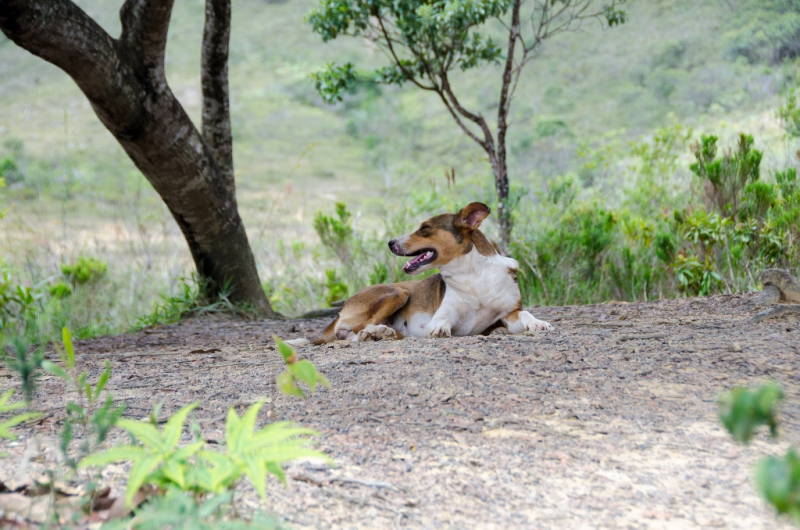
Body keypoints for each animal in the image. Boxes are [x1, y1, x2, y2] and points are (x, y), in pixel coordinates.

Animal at [290, 200, 552, 344]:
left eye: (425, 228)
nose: (390, 242)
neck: (474, 278)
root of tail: (341, 310)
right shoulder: (445, 313)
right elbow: (442, 321)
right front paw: (440, 329)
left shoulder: (509, 314)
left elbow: (526, 314)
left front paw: (539, 323)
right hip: (398, 293)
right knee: (357, 329)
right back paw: (374, 333)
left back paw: (382, 333)